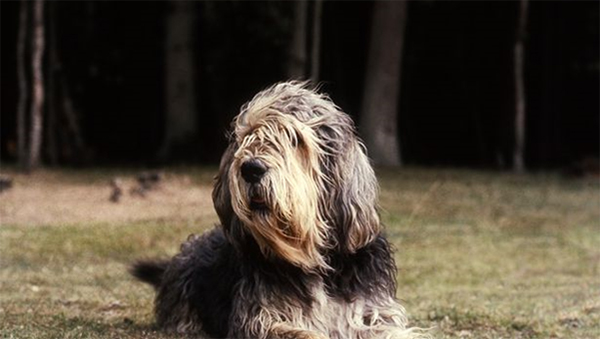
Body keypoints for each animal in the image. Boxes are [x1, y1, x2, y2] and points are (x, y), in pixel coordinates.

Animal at [132, 82, 426, 339]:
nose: (251, 169)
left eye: (295, 139)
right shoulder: (260, 319)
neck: (316, 259)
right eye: (247, 136)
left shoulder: (372, 313)